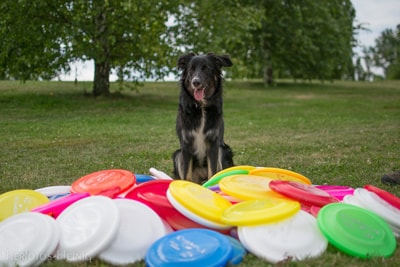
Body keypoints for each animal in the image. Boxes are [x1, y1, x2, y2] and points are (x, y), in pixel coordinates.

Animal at [173, 53, 234, 185]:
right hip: (177, 154)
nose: (195, 82)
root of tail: (201, 177)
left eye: (206, 68)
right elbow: (187, 174)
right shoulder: (186, 144)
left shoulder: (213, 143)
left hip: (223, 150)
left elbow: (212, 172)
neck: (201, 107)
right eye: (191, 69)